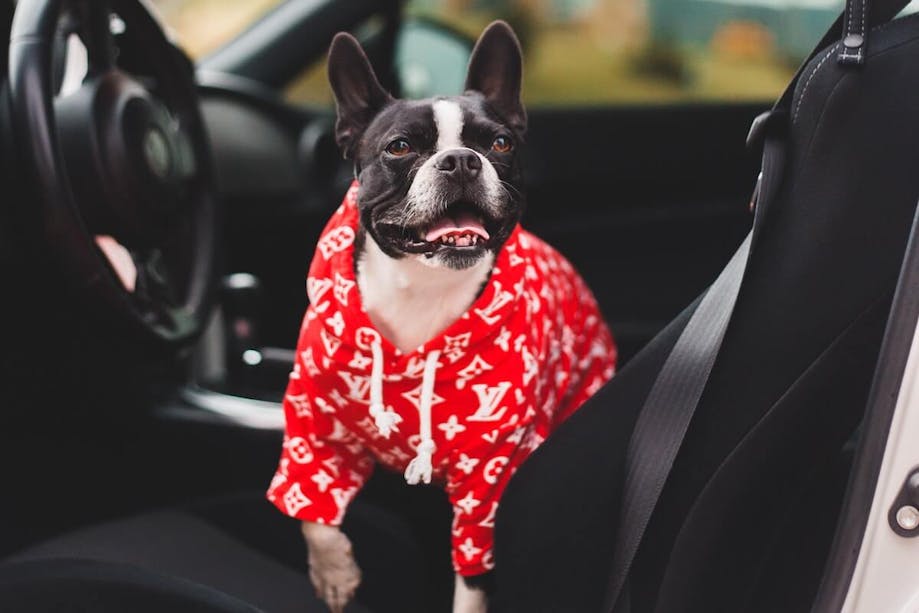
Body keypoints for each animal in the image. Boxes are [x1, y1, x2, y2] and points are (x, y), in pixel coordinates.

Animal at [268, 21, 620, 612]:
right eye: (399, 147)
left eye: (499, 143)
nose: (460, 160)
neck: (421, 288)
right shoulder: (315, 422)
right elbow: (314, 511)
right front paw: (334, 575)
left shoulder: (487, 481)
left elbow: (472, 576)